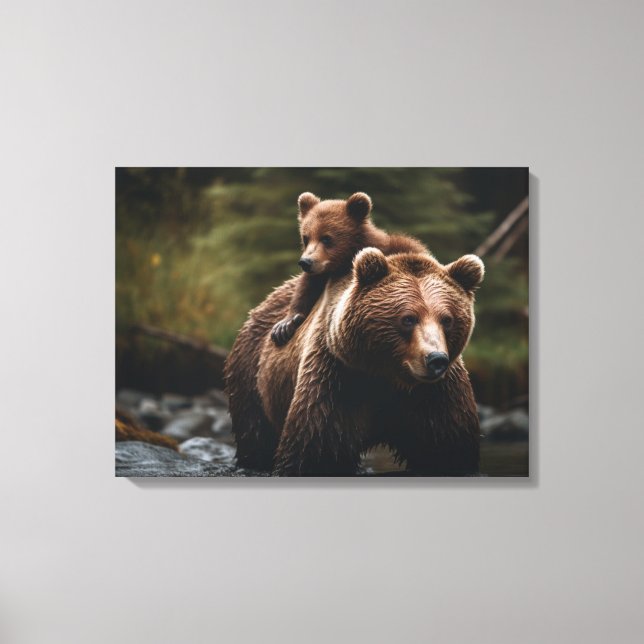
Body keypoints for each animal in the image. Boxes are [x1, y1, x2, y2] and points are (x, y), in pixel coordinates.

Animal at [224, 247, 484, 476]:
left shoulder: (434, 395)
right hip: (252, 374)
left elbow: (447, 446)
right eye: (408, 318)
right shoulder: (337, 375)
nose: (436, 359)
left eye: (447, 319)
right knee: (255, 433)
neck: (386, 375)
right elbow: (316, 447)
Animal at [270, 191, 427, 346]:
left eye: (326, 238)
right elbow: (306, 288)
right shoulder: (320, 274)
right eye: (306, 237)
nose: (305, 262)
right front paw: (284, 325)